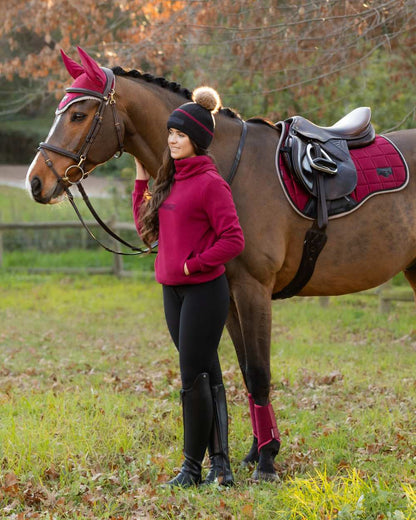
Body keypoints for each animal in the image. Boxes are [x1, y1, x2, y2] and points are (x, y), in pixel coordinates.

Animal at [26, 47, 416, 480]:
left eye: (78, 115)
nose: (36, 181)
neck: (231, 165)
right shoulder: (226, 296)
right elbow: (244, 373)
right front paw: (255, 452)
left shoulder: (253, 290)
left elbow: (260, 374)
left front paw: (266, 463)